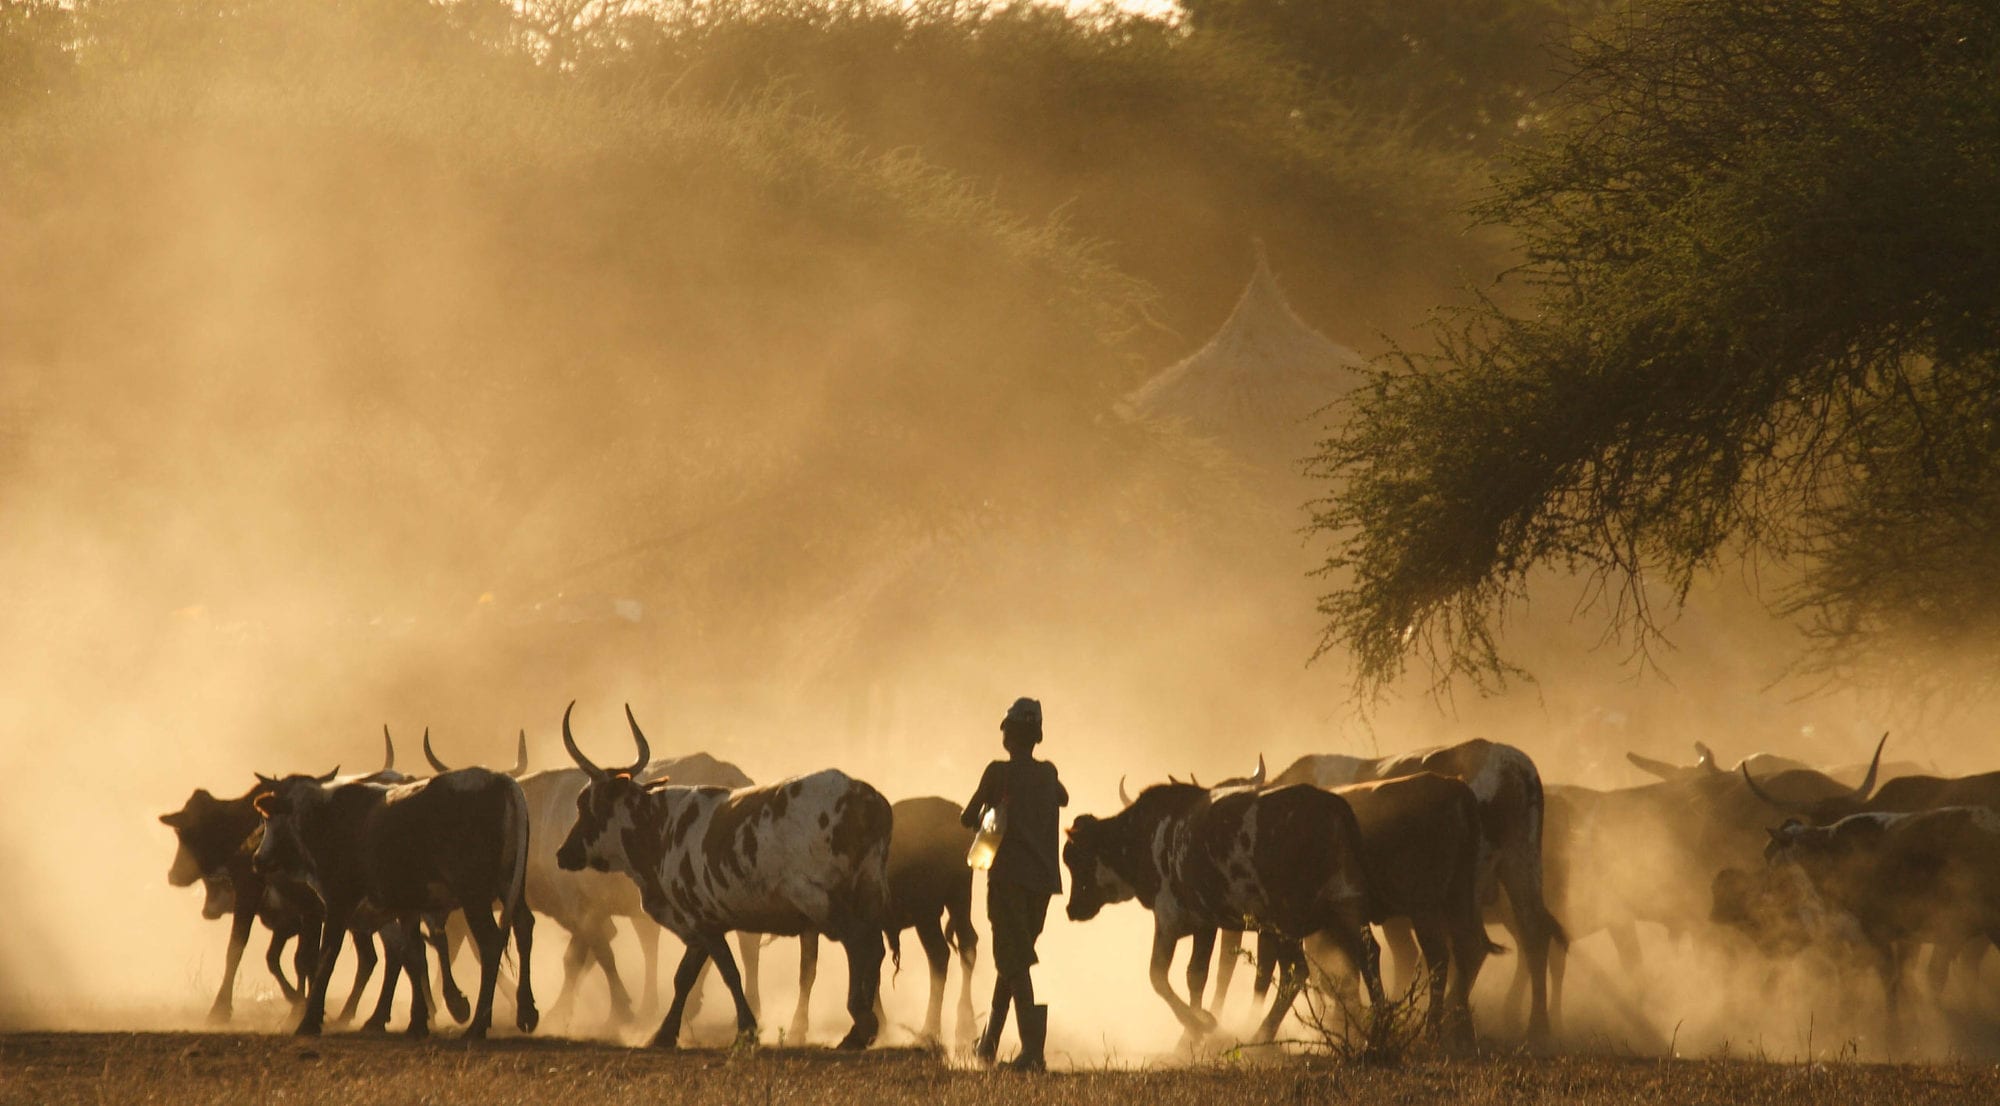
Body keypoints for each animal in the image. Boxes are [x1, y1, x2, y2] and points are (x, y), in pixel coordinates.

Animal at [552, 704, 888, 1048]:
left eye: (584, 804)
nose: (564, 853)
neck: (661, 826)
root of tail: (865, 796)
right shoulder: (700, 923)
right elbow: (685, 976)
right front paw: (665, 1032)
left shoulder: (703, 921)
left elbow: (728, 972)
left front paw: (747, 1028)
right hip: (869, 891)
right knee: (875, 946)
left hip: (821, 901)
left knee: (858, 942)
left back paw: (860, 1026)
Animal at [1064, 776, 1392, 1040]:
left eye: (1077, 859)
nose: (1072, 909)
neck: (1150, 836)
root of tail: (1331, 806)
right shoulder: (1205, 924)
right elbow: (1196, 975)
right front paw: (1190, 1036)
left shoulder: (1168, 919)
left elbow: (1158, 976)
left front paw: (1199, 1025)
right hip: (1347, 907)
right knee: (1368, 955)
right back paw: (1377, 1034)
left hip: (1286, 921)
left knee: (1295, 972)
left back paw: (1261, 1035)